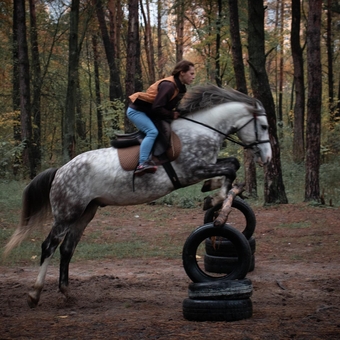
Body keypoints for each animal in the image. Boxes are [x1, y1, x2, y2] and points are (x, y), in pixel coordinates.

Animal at [3, 83, 272, 306]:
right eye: (264, 126)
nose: (267, 158)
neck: (201, 130)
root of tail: (60, 170)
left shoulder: (205, 166)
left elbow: (231, 165)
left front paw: (213, 194)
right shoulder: (192, 170)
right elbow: (230, 168)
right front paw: (217, 203)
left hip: (85, 213)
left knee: (67, 249)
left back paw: (67, 293)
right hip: (66, 214)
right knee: (49, 246)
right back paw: (35, 293)